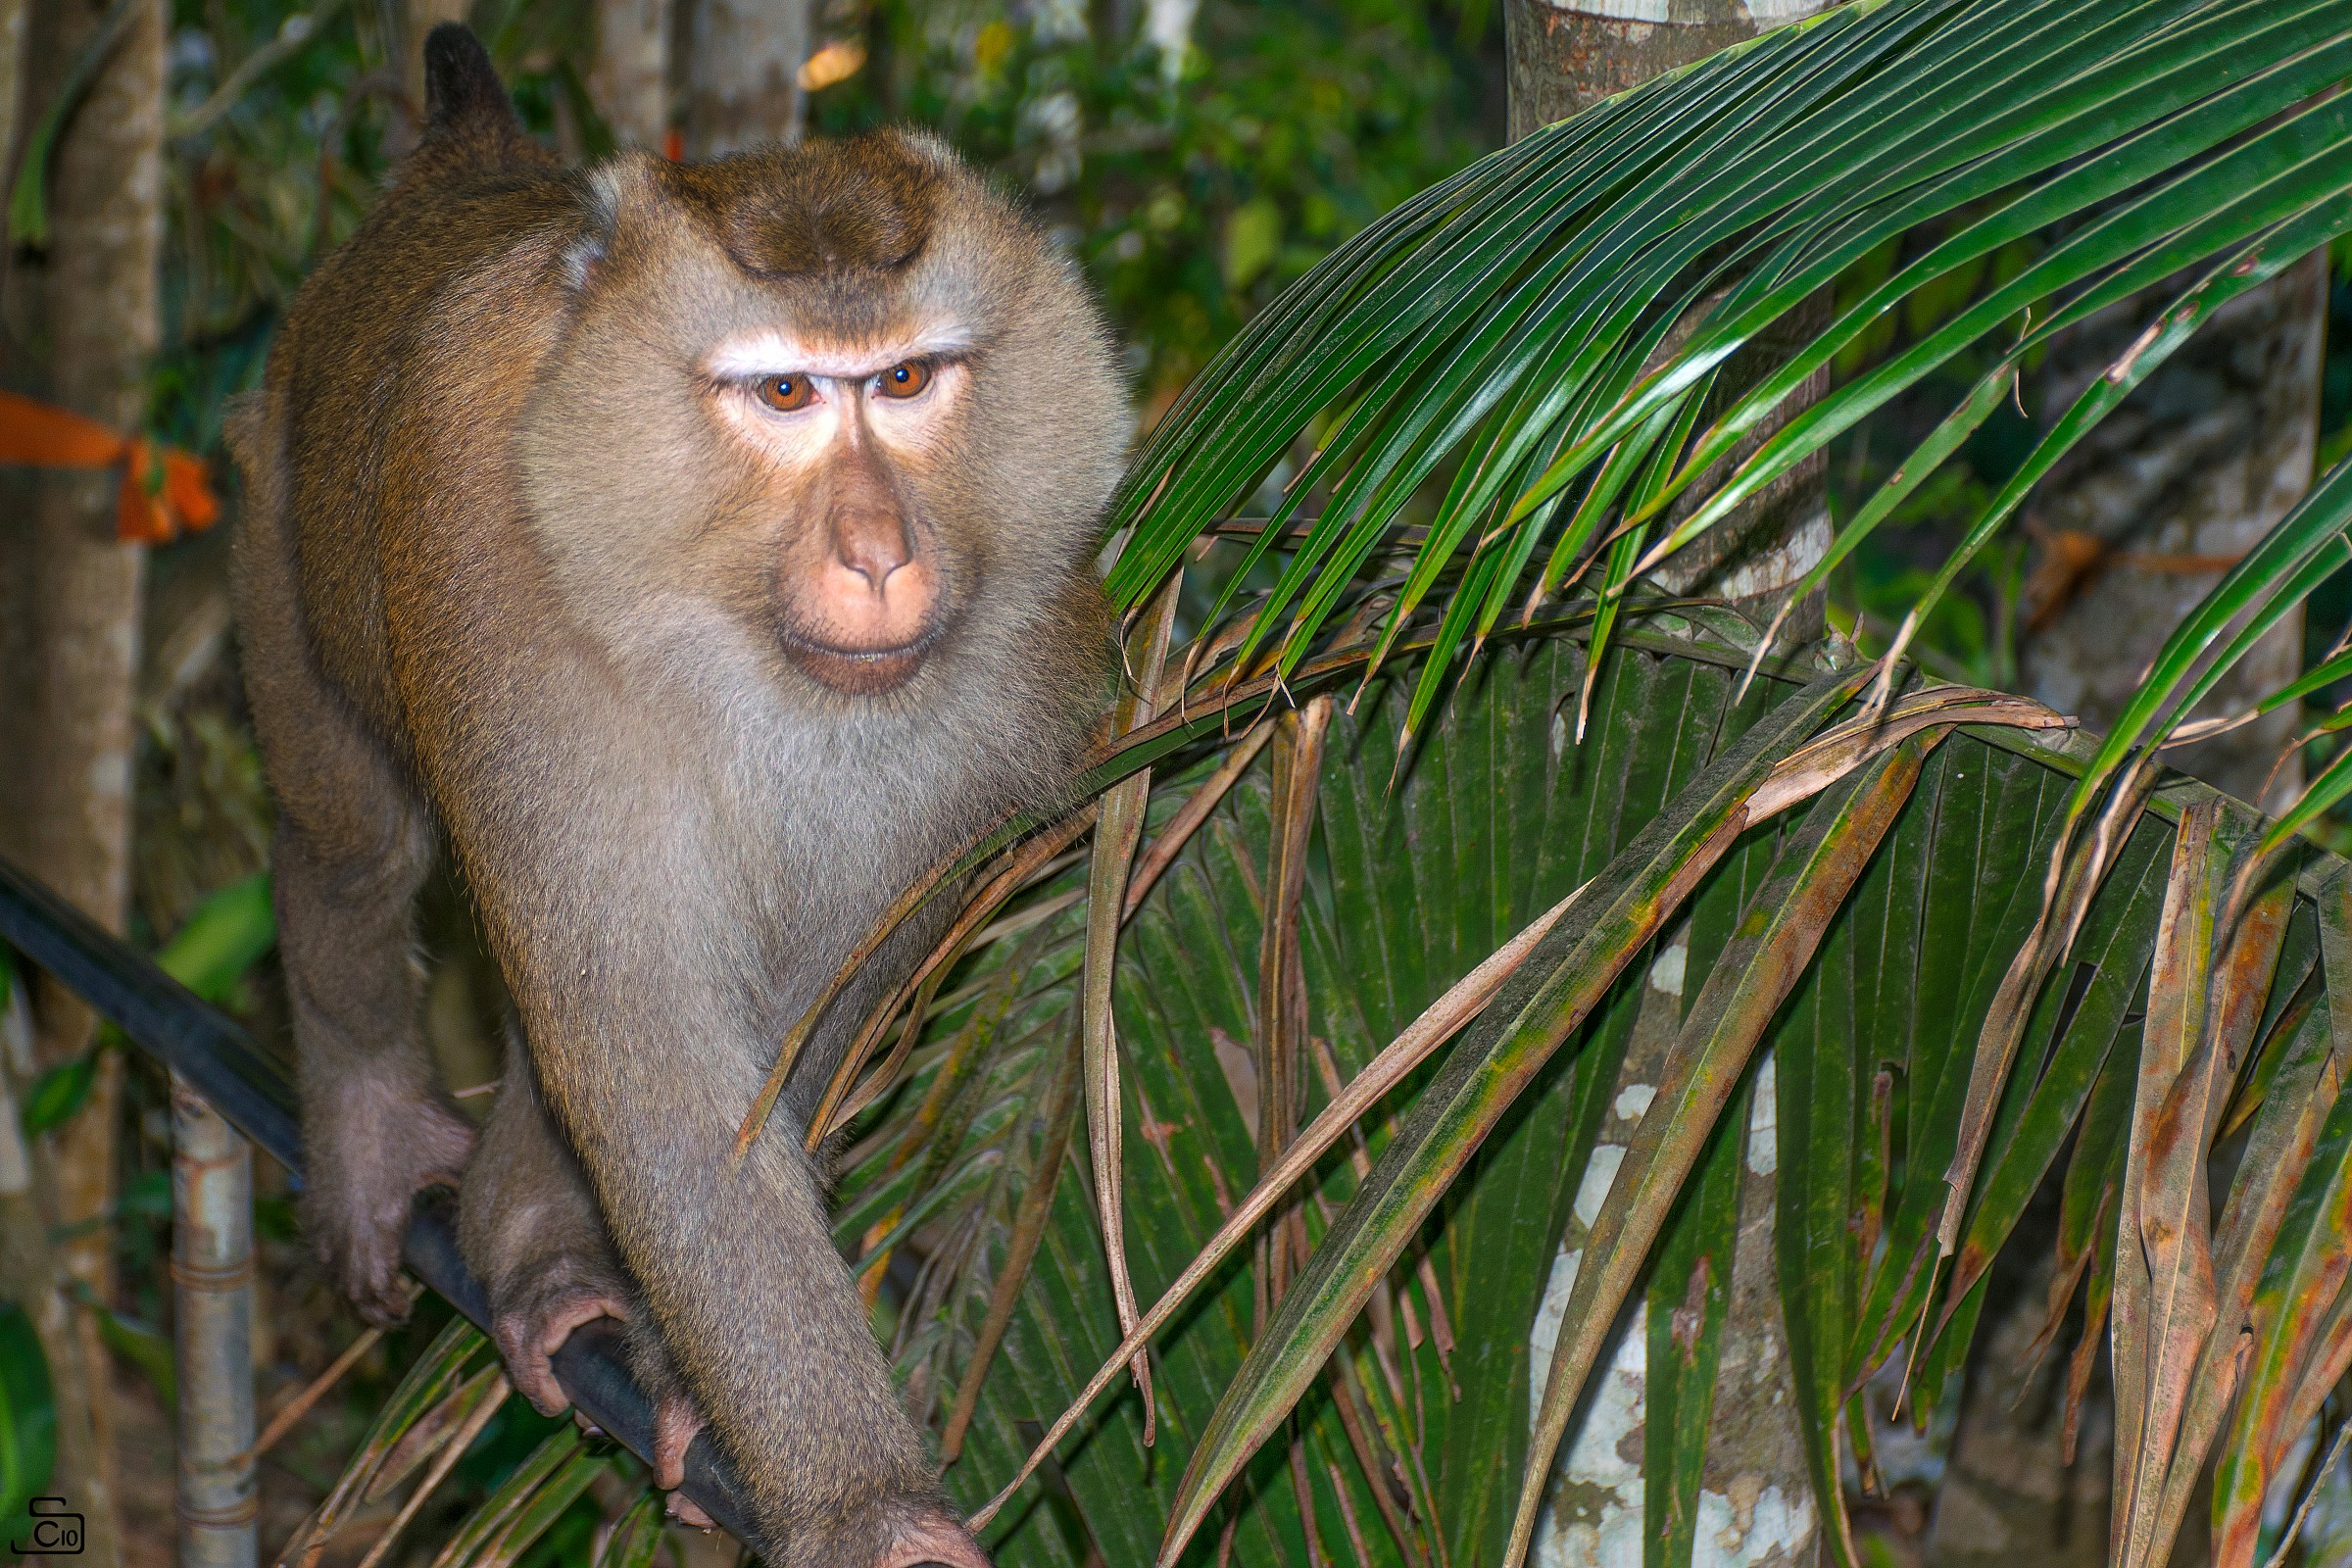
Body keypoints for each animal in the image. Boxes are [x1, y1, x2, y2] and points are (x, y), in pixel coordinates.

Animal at [227, 27, 1121, 1566]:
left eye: (905, 381)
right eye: (784, 396)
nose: (881, 553)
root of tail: (465, 181)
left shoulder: (1015, 666)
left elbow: (814, 1000)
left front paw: (687, 1377)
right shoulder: (492, 567)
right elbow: (642, 1038)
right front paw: (863, 1505)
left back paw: (535, 1236)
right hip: (279, 505)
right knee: (354, 843)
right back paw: (378, 1119)